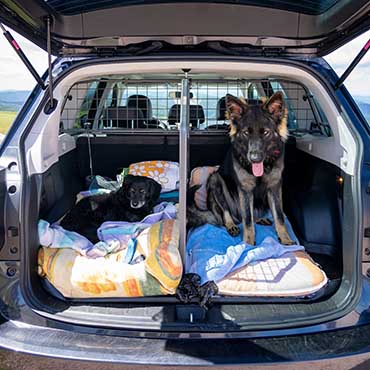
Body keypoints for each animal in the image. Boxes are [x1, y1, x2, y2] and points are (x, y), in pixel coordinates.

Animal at [188, 91, 294, 246]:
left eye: (265, 132)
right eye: (246, 132)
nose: (254, 158)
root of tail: (236, 215)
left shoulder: (274, 187)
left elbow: (279, 216)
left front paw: (285, 239)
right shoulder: (245, 189)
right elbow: (247, 220)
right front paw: (248, 243)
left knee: (250, 214)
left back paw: (259, 219)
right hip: (215, 181)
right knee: (227, 213)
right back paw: (231, 224)